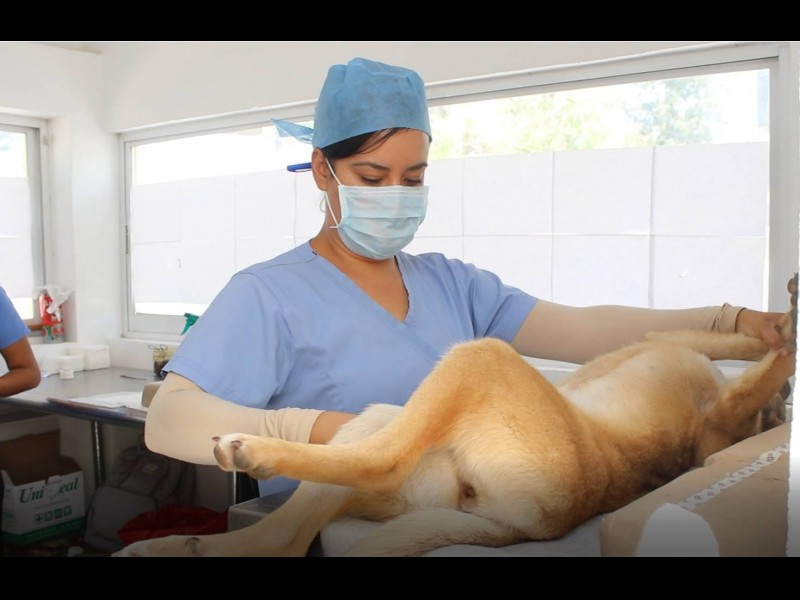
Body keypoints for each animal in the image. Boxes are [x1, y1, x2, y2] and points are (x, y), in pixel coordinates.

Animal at [116, 276, 797, 557]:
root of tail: (534, 528)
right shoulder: (691, 367)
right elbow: (753, 345)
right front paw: (779, 319)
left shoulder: (713, 407)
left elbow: (764, 356)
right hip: (410, 416)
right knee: (287, 532)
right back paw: (178, 544)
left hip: (475, 362)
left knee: (369, 465)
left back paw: (249, 454)